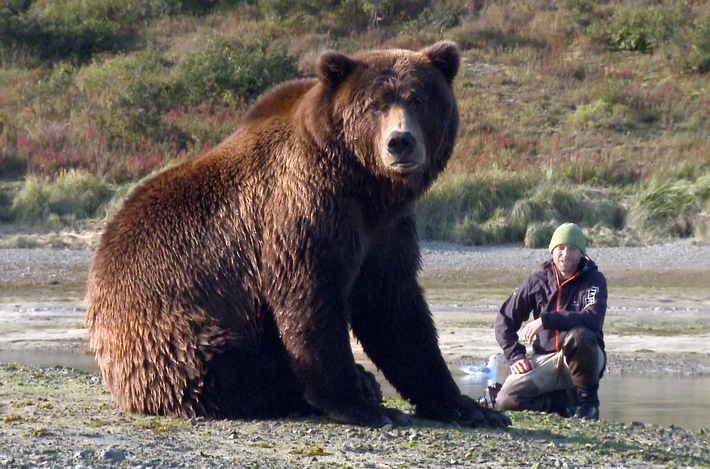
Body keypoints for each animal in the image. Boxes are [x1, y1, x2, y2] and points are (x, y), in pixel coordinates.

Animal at [86, 41, 512, 428]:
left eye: (418, 99)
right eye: (375, 105)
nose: (400, 142)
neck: (364, 184)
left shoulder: (386, 230)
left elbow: (395, 311)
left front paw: (469, 407)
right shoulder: (304, 211)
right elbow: (311, 300)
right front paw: (363, 407)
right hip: (171, 334)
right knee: (231, 368)